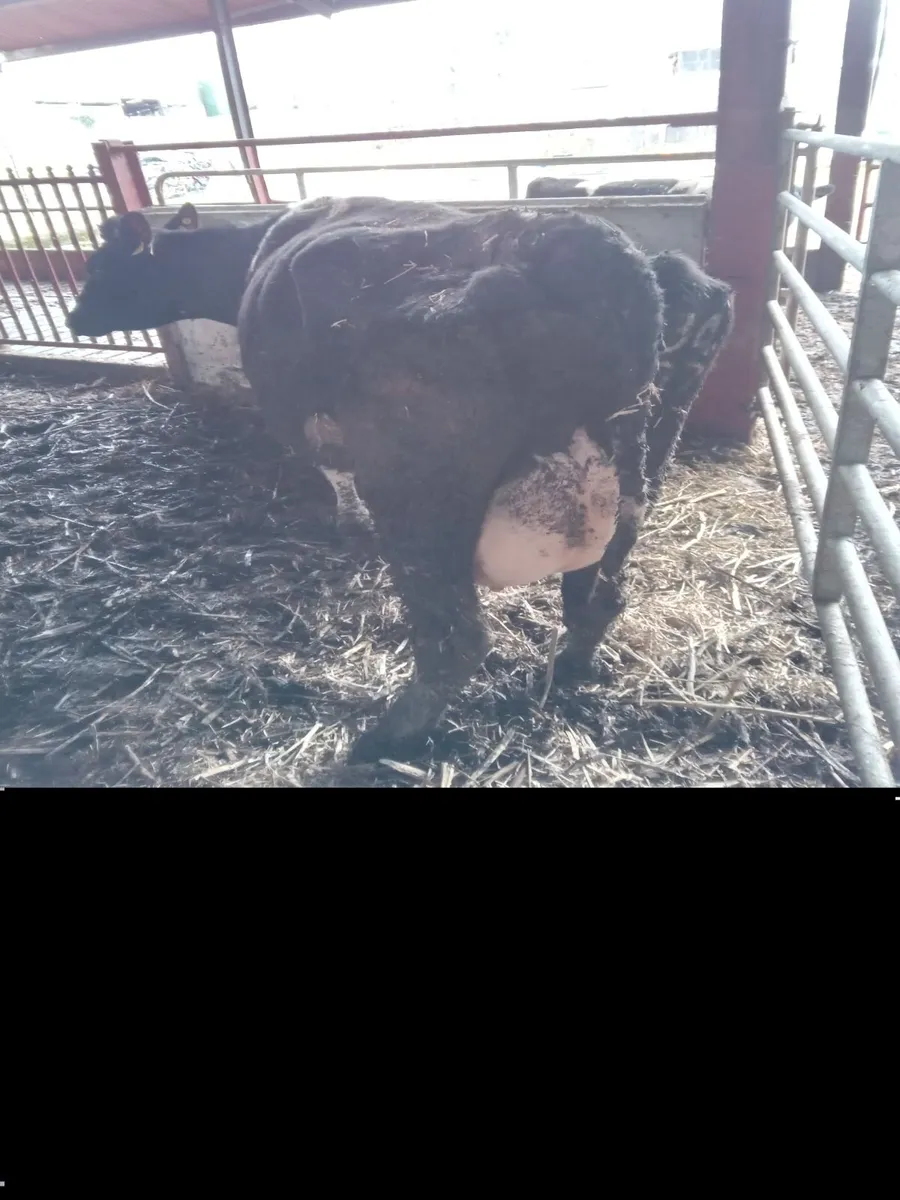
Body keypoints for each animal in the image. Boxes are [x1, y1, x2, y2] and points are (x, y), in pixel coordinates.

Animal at [67, 197, 733, 764]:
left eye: (99, 264)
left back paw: (387, 737)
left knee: (455, 639)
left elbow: (332, 468)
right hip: (643, 472)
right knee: (598, 597)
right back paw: (572, 665)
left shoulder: (298, 409)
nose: (73, 318)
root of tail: (598, 252)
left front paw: (347, 523)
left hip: (416, 495)